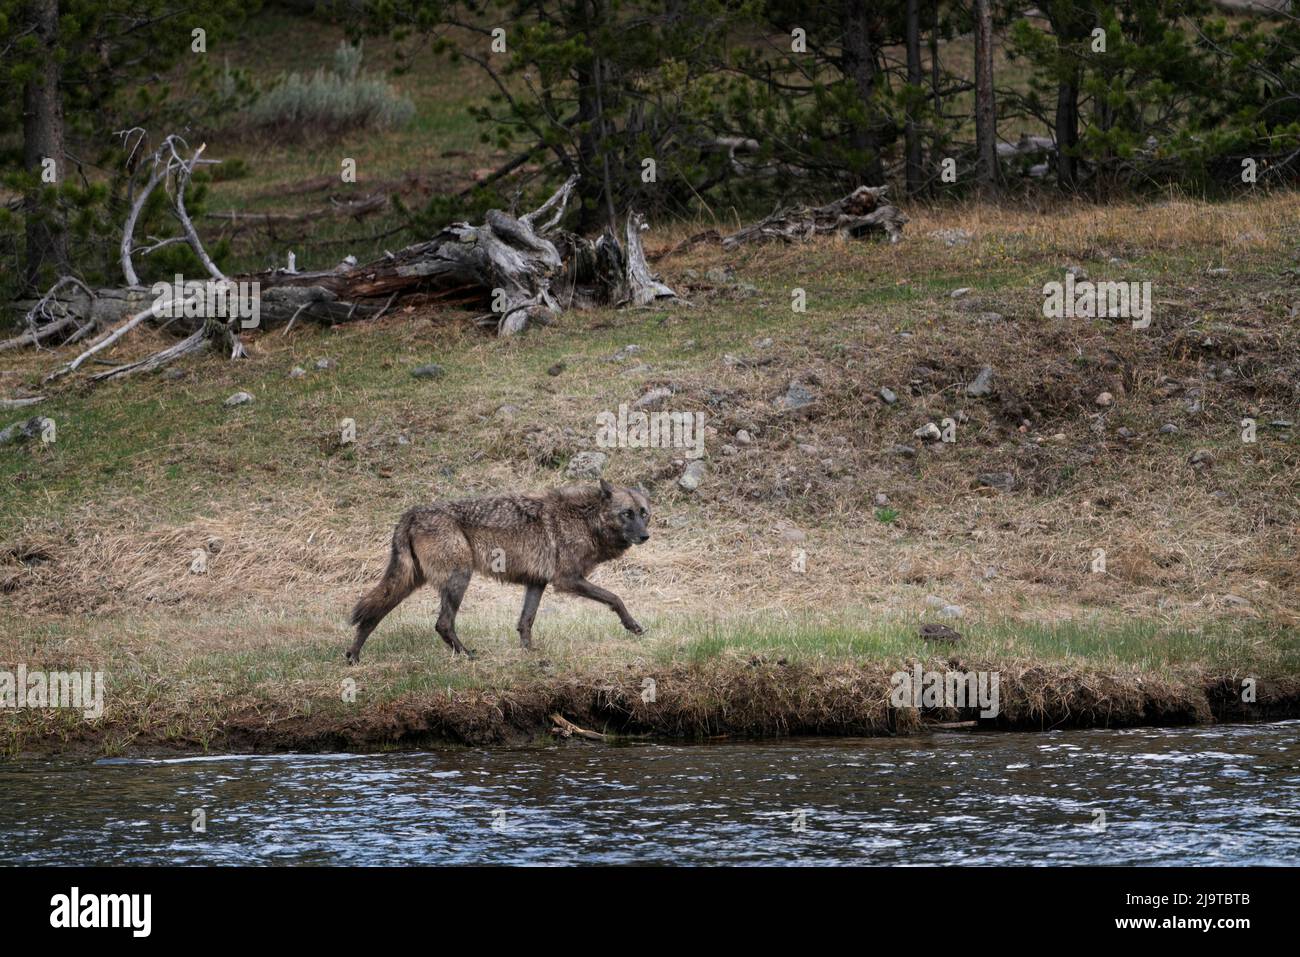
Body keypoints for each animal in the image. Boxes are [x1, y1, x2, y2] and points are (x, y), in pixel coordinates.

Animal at [346, 480, 651, 662]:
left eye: (644, 513)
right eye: (627, 514)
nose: (645, 536)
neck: (586, 520)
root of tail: (410, 513)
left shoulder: (537, 582)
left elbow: (525, 621)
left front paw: (530, 654)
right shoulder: (567, 580)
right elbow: (615, 598)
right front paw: (633, 626)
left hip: (408, 582)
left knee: (372, 615)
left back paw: (353, 657)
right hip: (458, 579)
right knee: (442, 623)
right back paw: (467, 656)